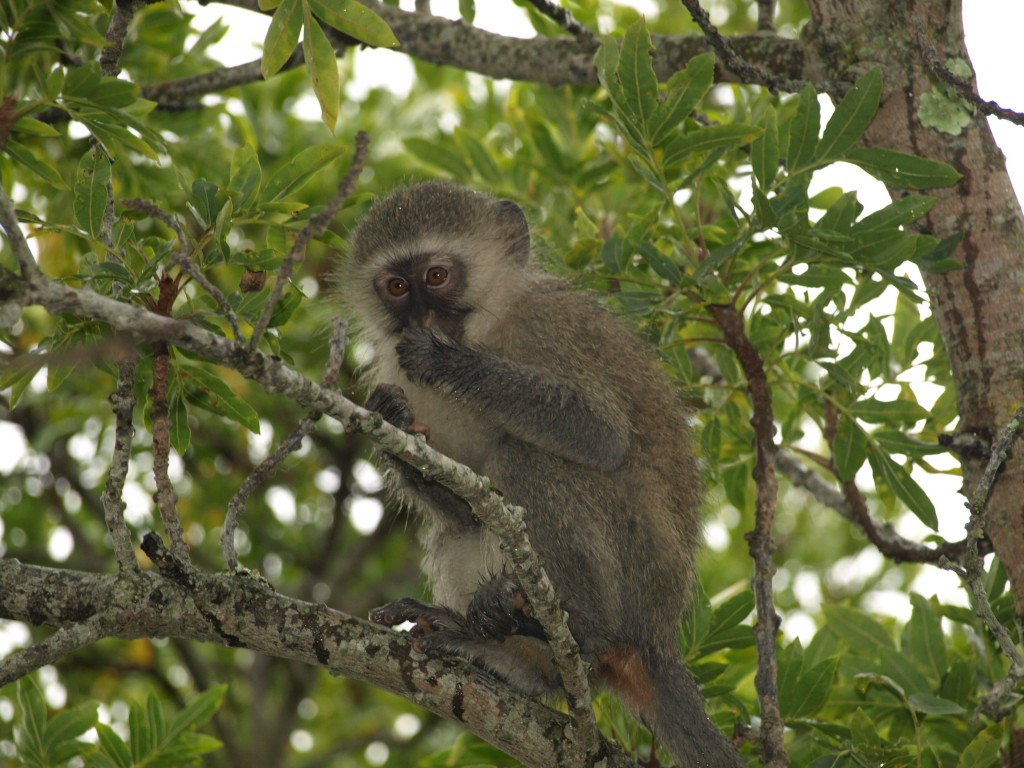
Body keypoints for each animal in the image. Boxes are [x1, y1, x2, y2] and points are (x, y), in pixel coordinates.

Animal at [339, 181, 744, 767]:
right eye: (396, 287)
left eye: (436, 277)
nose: (419, 322)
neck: (490, 327)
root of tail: (658, 636)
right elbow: (465, 501)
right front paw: (391, 418)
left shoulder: (551, 326)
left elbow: (599, 433)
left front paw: (448, 362)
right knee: (462, 528)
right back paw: (502, 649)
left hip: (635, 569)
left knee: (530, 456)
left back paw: (582, 627)